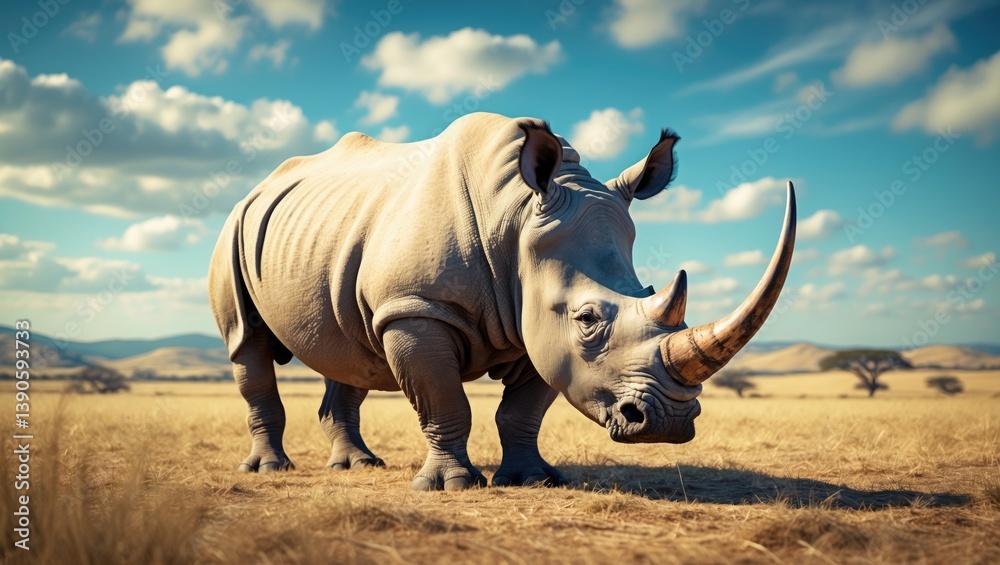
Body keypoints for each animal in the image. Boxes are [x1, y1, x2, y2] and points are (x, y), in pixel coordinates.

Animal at [209, 112, 795, 490]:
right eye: (588, 319)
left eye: (650, 294)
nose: (669, 424)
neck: (516, 217)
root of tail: (257, 188)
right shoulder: (417, 307)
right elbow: (444, 399)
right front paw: (451, 486)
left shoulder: (534, 321)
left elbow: (522, 411)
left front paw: (532, 479)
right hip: (234, 229)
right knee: (247, 343)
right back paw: (269, 471)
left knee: (349, 349)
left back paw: (358, 467)